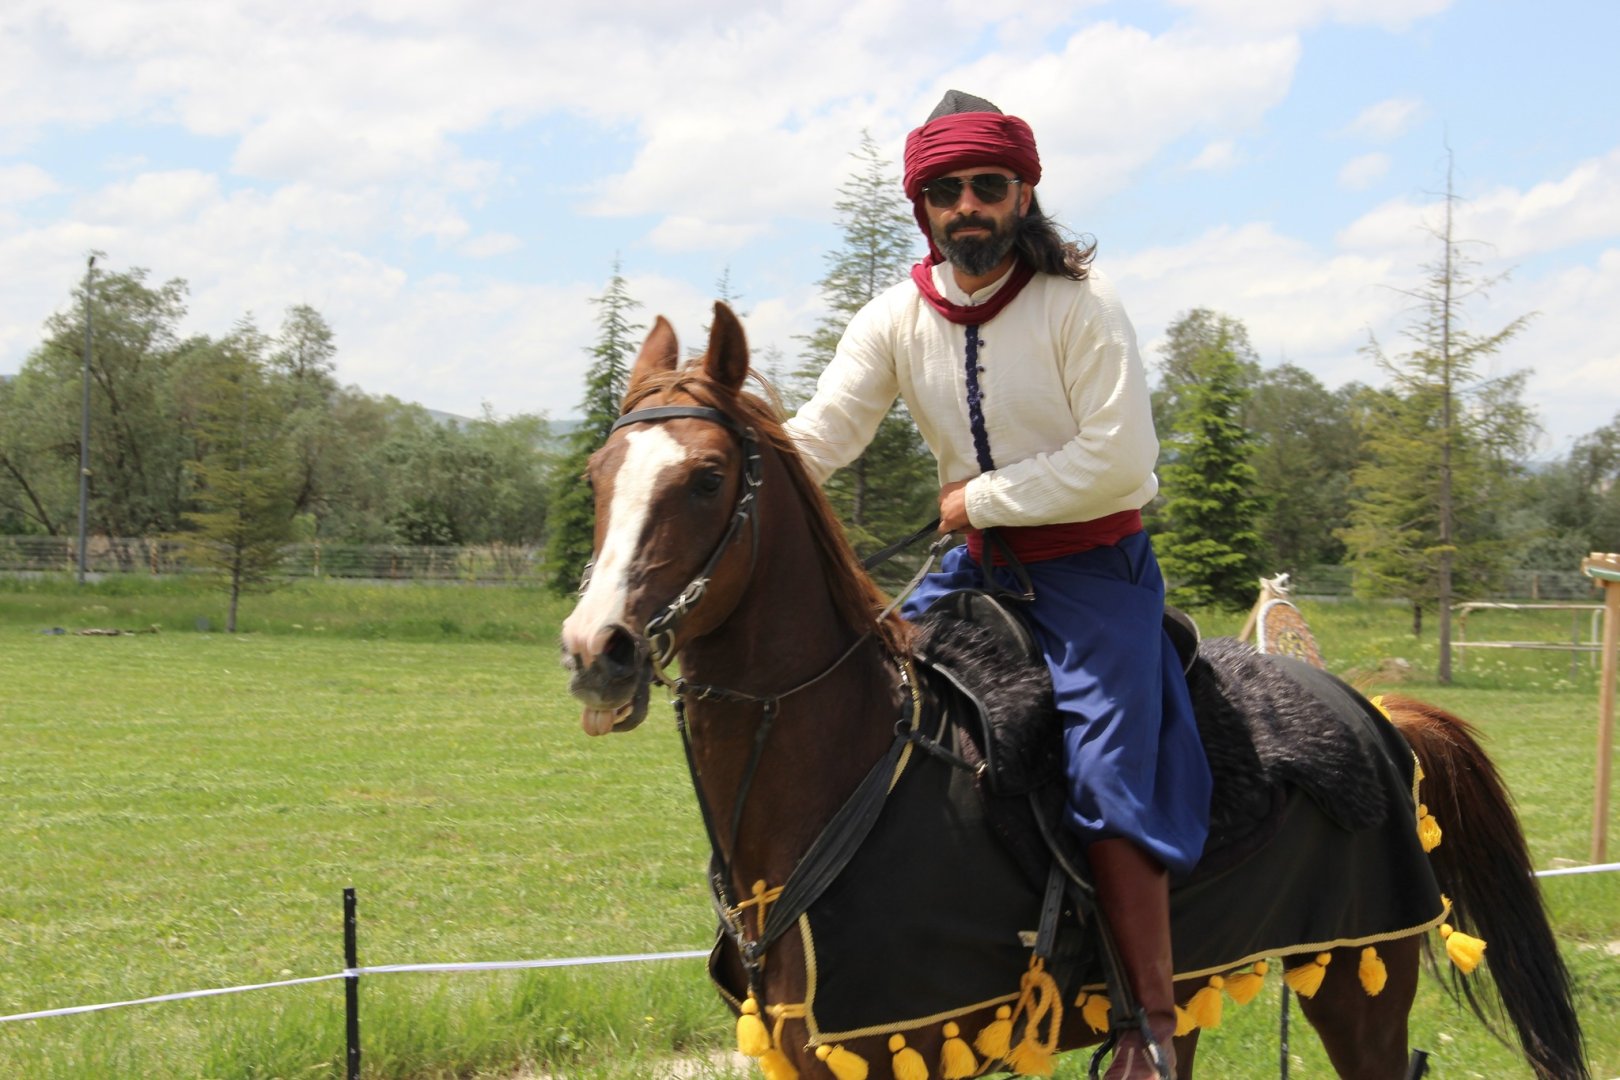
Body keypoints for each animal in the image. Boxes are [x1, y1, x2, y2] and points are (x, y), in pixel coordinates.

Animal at [560, 303, 1588, 1080]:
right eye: (598, 475)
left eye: (705, 478)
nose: (596, 650)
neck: (851, 773)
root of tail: (1372, 713)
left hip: (1356, 973)